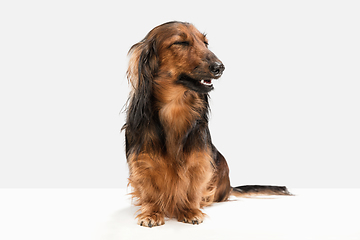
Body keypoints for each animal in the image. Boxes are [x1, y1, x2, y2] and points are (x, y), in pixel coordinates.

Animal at [122, 21, 292, 228]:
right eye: (180, 42)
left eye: (205, 43)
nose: (220, 67)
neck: (174, 108)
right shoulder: (142, 161)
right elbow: (147, 188)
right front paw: (151, 212)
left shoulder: (200, 160)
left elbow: (194, 186)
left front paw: (190, 210)